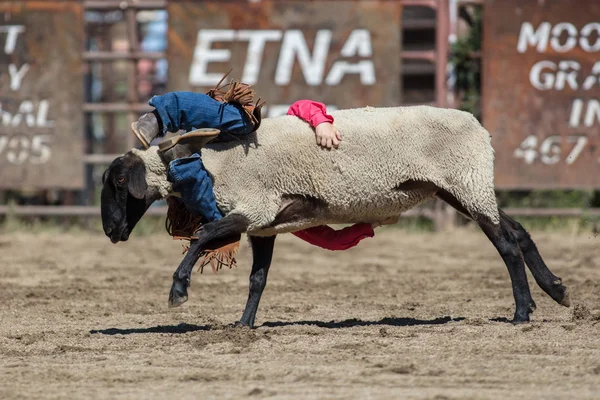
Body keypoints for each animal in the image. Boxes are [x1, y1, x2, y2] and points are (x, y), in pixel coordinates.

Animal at [101, 105, 568, 328]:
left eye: (119, 182)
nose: (110, 231)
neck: (209, 162)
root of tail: (478, 126)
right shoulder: (264, 224)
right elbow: (258, 278)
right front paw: (244, 324)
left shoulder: (252, 208)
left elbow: (201, 238)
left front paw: (178, 291)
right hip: (464, 187)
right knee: (518, 231)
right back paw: (556, 290)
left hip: (465, 182)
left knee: (506, 244)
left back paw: (522, 312)